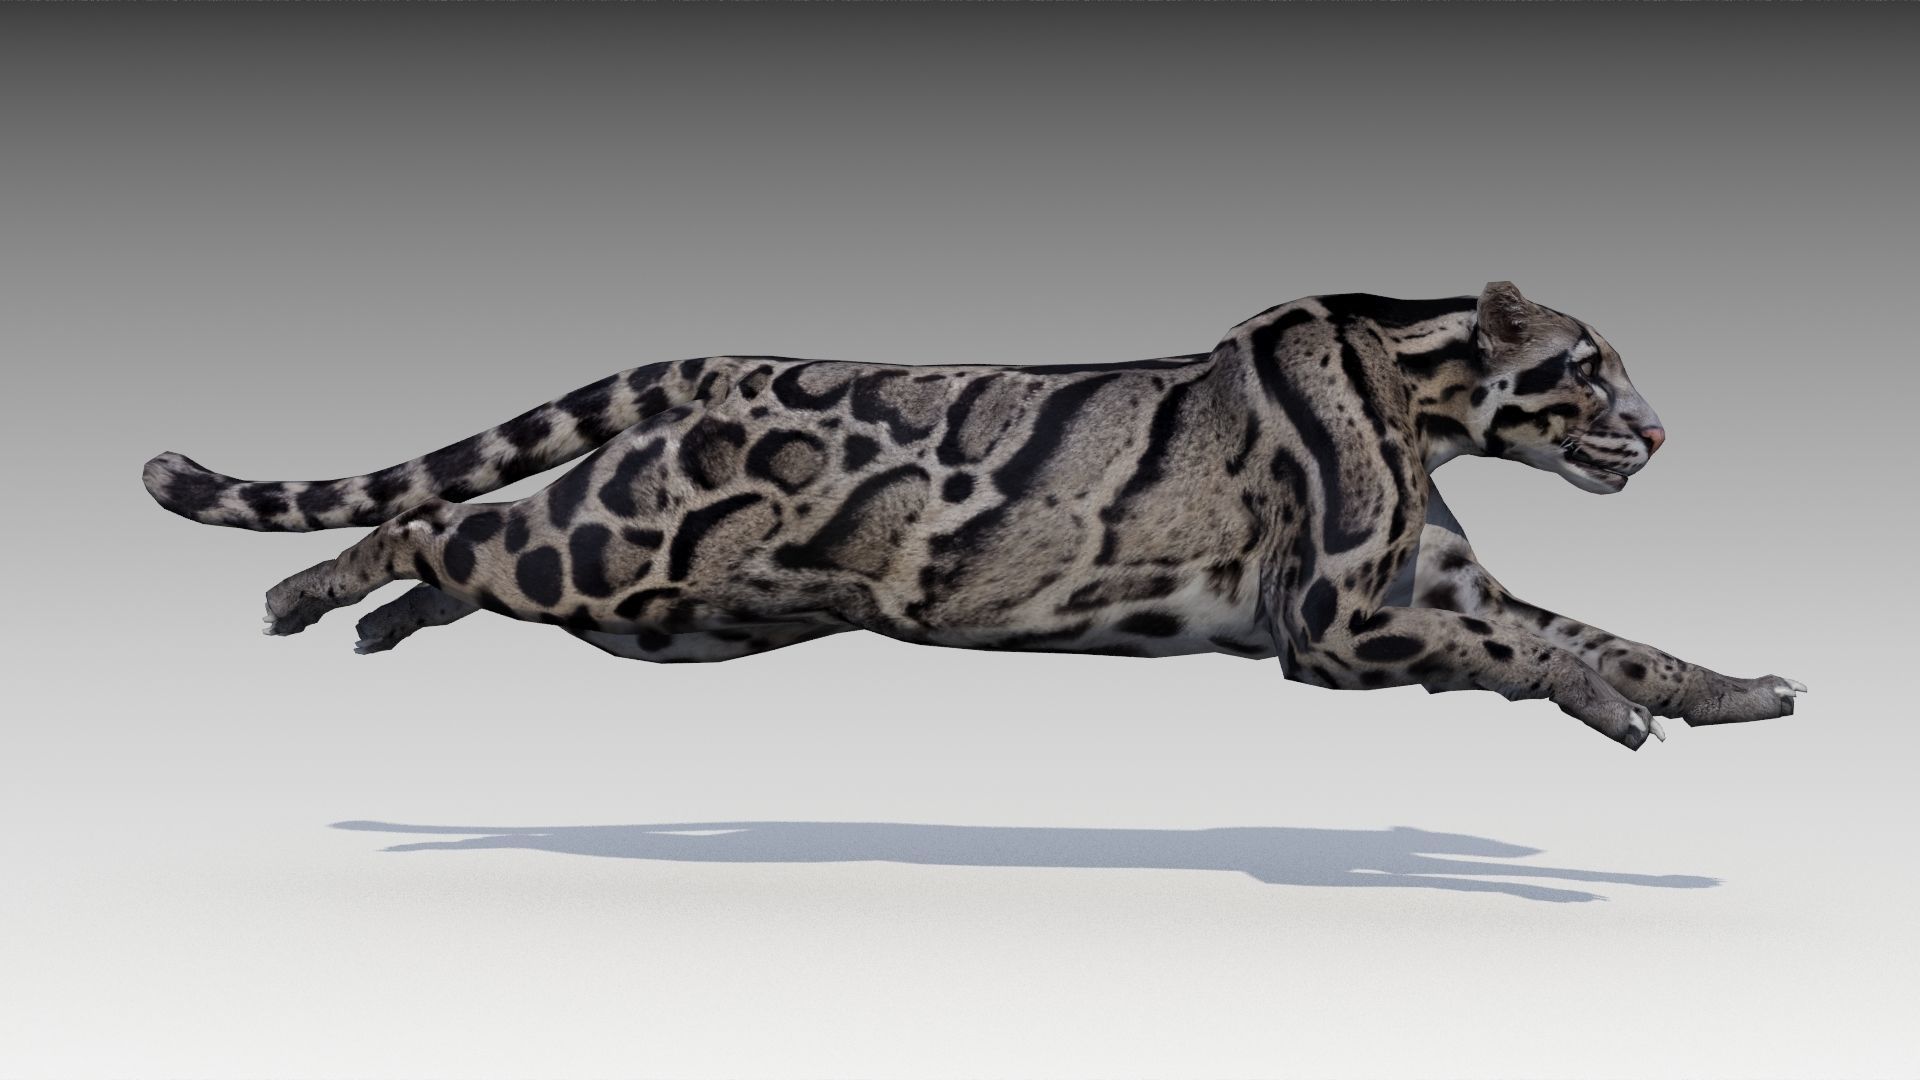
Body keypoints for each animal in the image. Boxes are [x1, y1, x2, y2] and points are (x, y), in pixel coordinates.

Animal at [142, 281, 1805, 750]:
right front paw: (1610, 705)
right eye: (1588, 368)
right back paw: (312, 598)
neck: (1421, 385)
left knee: (465, 554)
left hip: (682, 618)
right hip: (619, 553)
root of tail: (711, 357)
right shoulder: (1339, 622)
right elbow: (1541, 656)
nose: (1661, 428)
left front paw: (1725, 689)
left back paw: (382, 622)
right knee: (439, 528)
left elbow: (1613, 637)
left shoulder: (1435, 594)